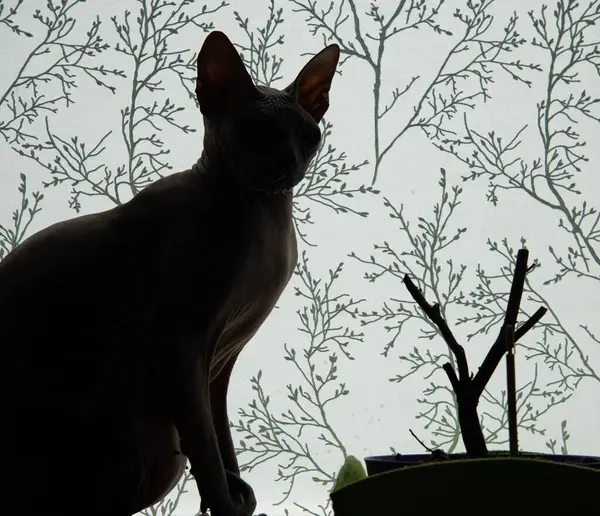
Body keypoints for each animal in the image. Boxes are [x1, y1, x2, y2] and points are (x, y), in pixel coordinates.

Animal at [0, 31, 338, 516]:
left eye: (308, 136)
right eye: (255, 131)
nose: (287, 160)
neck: (266, 214)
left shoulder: (220, 362)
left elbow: (222, 441)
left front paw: (238, 498)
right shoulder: (177, 341)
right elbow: (208, 453)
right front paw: (225, 503)